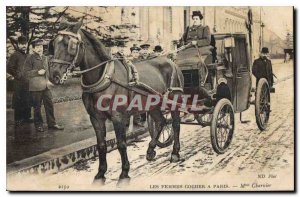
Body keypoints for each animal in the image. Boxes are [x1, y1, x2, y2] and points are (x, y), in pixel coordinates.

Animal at [48, 18, 184, 183]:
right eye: (53, 44)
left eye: (71, 45)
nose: (53, 75)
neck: (105, 78)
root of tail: (171, 62)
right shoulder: (95, 118)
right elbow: (101, 145)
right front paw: (100, 173)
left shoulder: (118, 116)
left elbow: (121, 144)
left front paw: (124, 173)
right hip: (153, 104)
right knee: (161, 122)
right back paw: (151, 150)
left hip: (174, 100)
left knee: (175, 124)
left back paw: (175, 153)